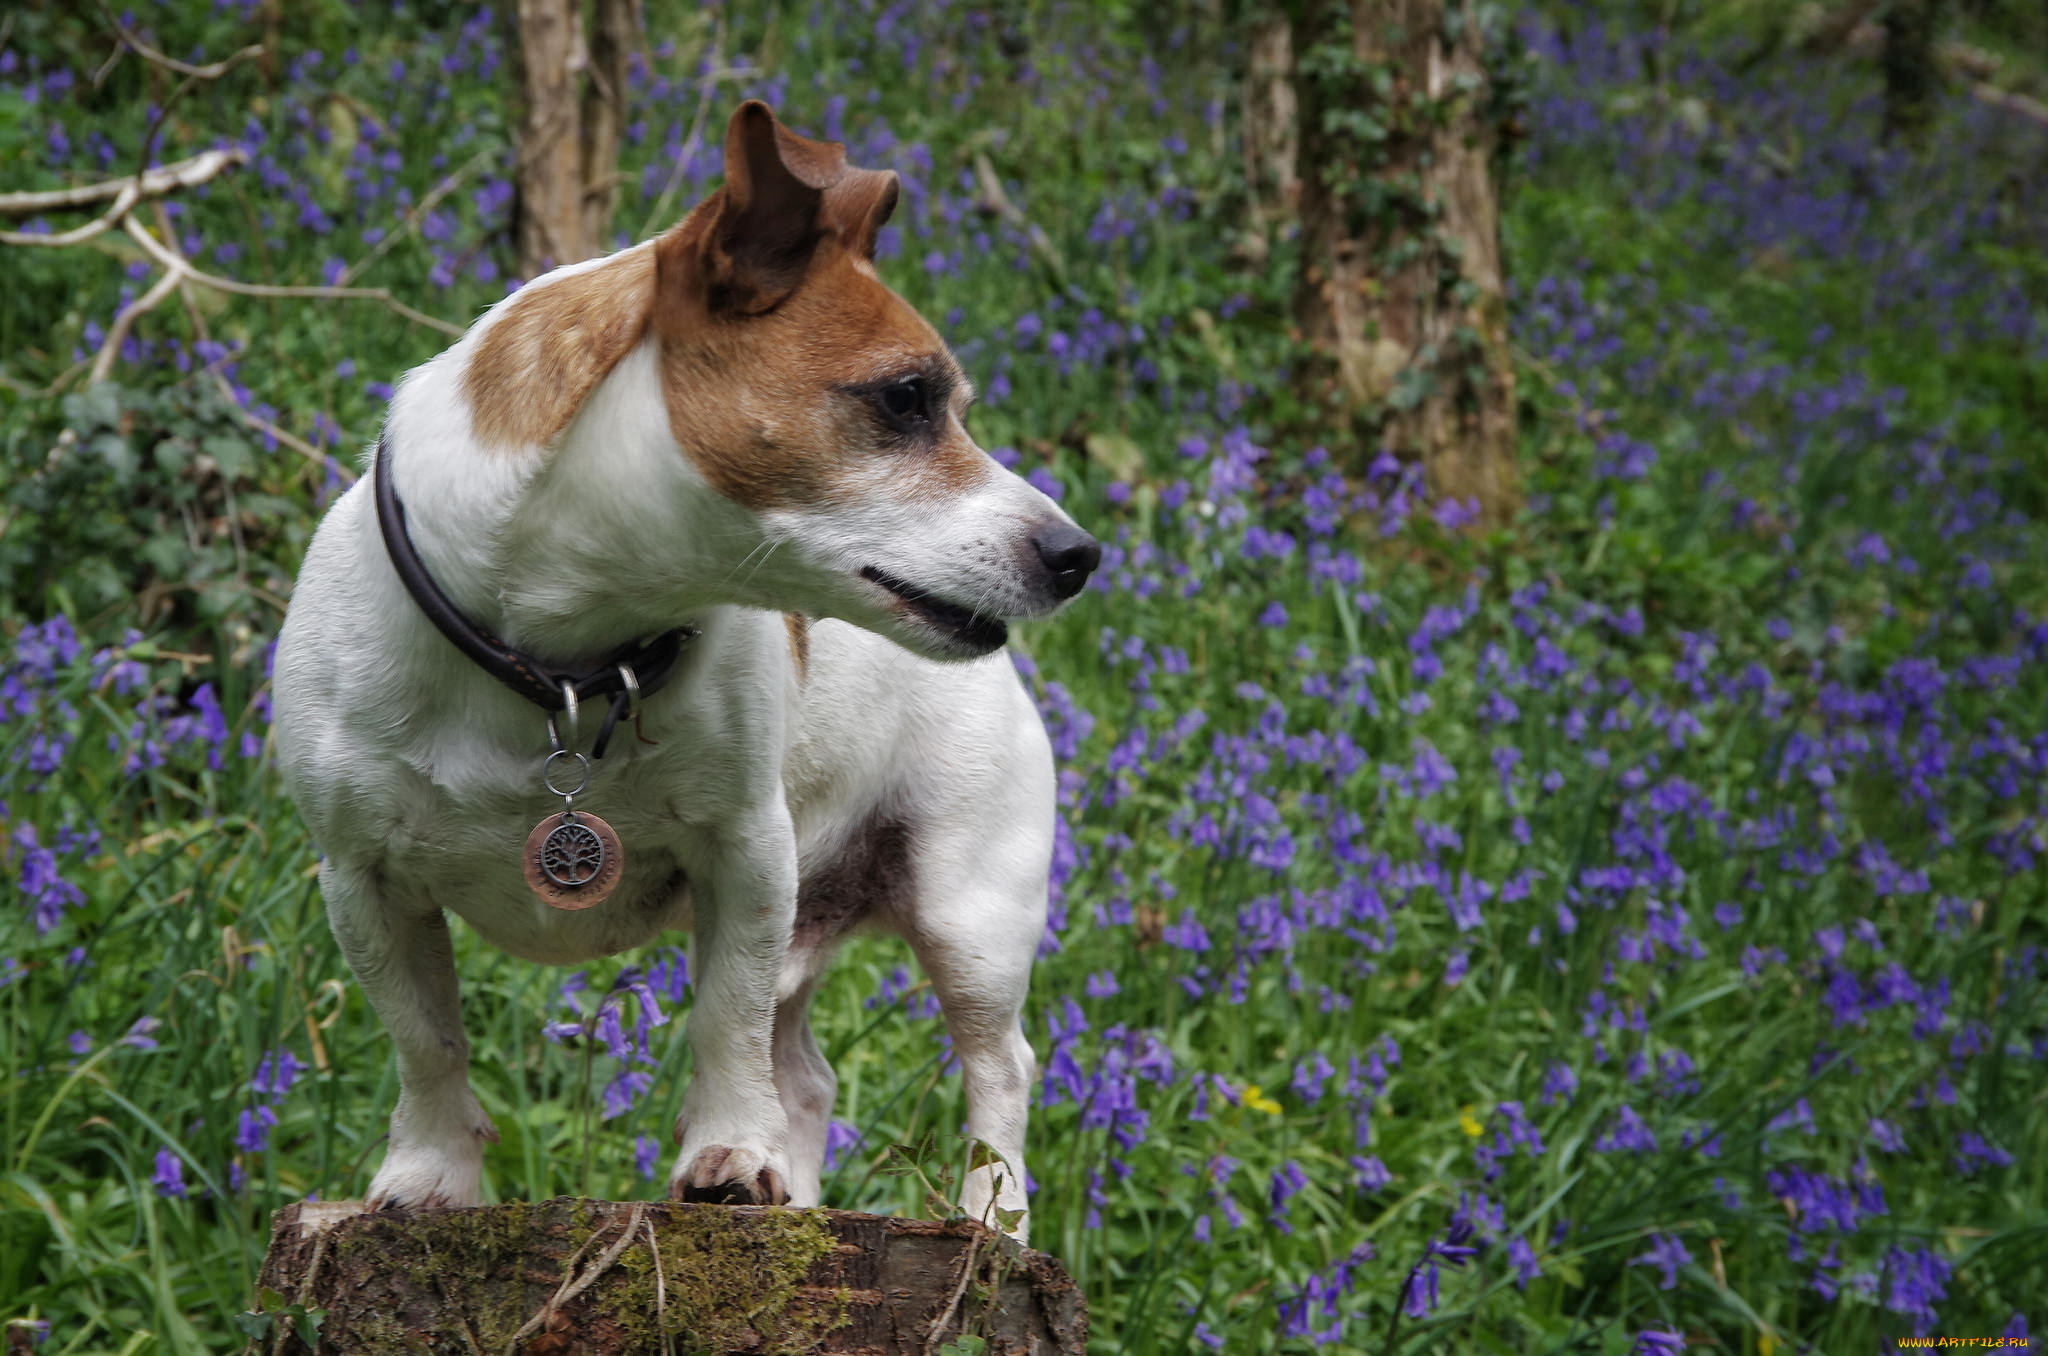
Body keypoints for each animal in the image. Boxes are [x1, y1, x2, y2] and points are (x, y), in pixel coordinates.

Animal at [284, 100, 1105, 1237]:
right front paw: (430, 1176)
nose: (1080, 554)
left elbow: (723, 1020)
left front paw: (729, 1156)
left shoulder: (746, 856)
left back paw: (990, 1218)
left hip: (967, 912)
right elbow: (426, 1041)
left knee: (996, 1069)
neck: (567, 660)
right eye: (906, 399)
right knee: (803, 1073)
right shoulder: (363, 882)